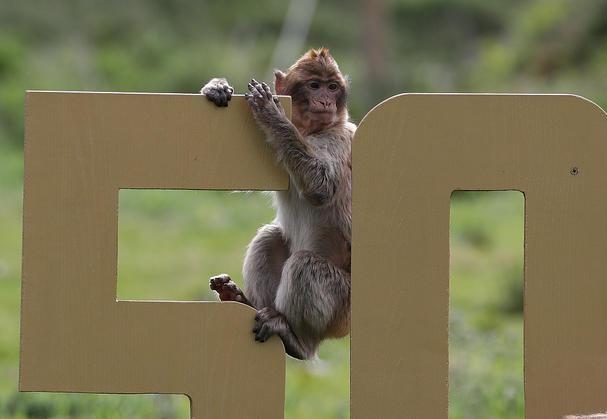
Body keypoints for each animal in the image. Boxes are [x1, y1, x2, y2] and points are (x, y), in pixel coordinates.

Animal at [203, 47, 356, 360]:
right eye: (315, 85)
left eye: (332, 87)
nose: (325, 101)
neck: (309, 133)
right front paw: (217, 87)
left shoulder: (340, 140)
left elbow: (322, 186)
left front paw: (272, 115)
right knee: (269, 237)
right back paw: (244, 301)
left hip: (343, 304)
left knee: (304, 265)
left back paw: (296, 341)